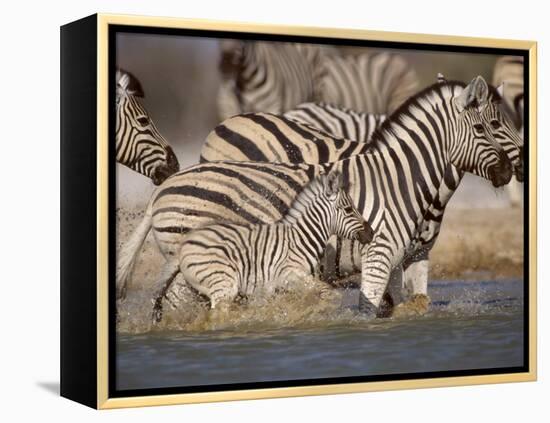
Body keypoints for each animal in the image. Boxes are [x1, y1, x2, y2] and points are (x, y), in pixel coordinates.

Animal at [151, 171, 376, 322]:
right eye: (349, 209)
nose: (371, 233)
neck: (302, 238)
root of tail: (182, 247)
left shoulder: (278, 287)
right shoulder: (289, 274)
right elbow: (329, 292)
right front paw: (320, 311)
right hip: (223, 283)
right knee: (217, 314)